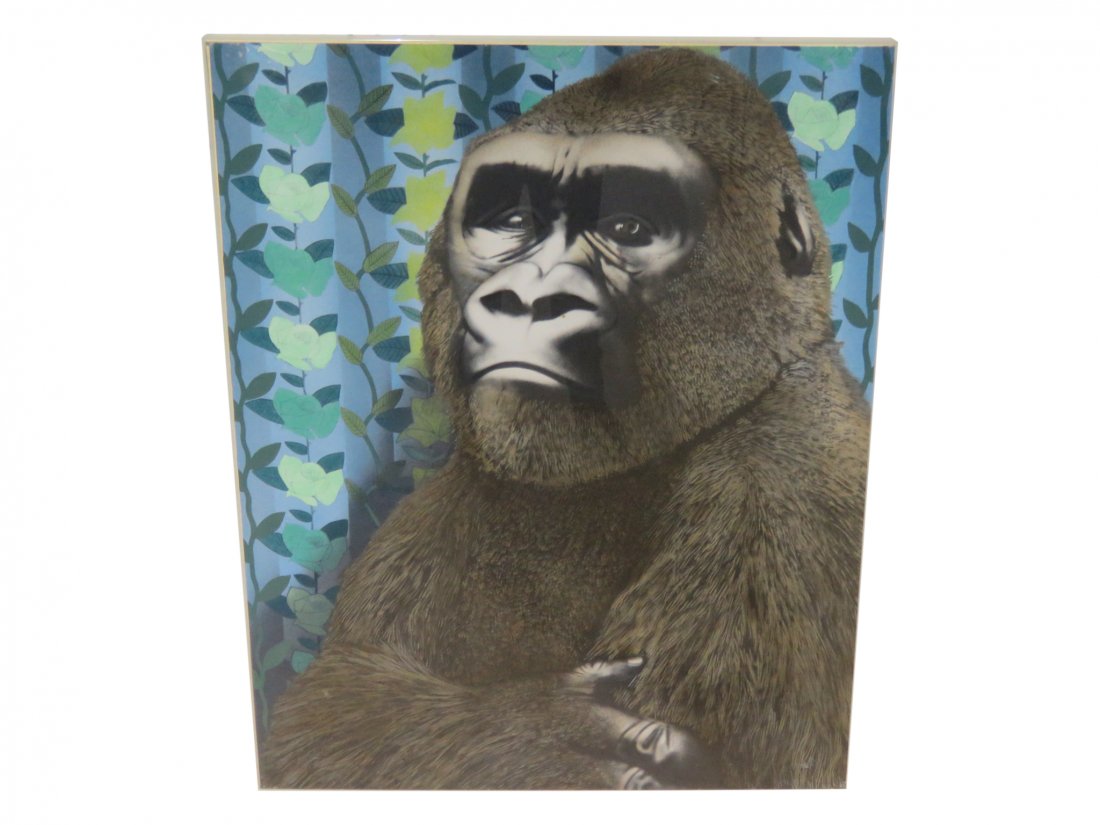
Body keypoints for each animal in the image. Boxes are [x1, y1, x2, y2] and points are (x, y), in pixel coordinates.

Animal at [259, 47, 871, 790]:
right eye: (512, 220)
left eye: (626, 228)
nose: (528, 299)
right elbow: (326, 712)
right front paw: (532, 723)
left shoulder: (775, 500)